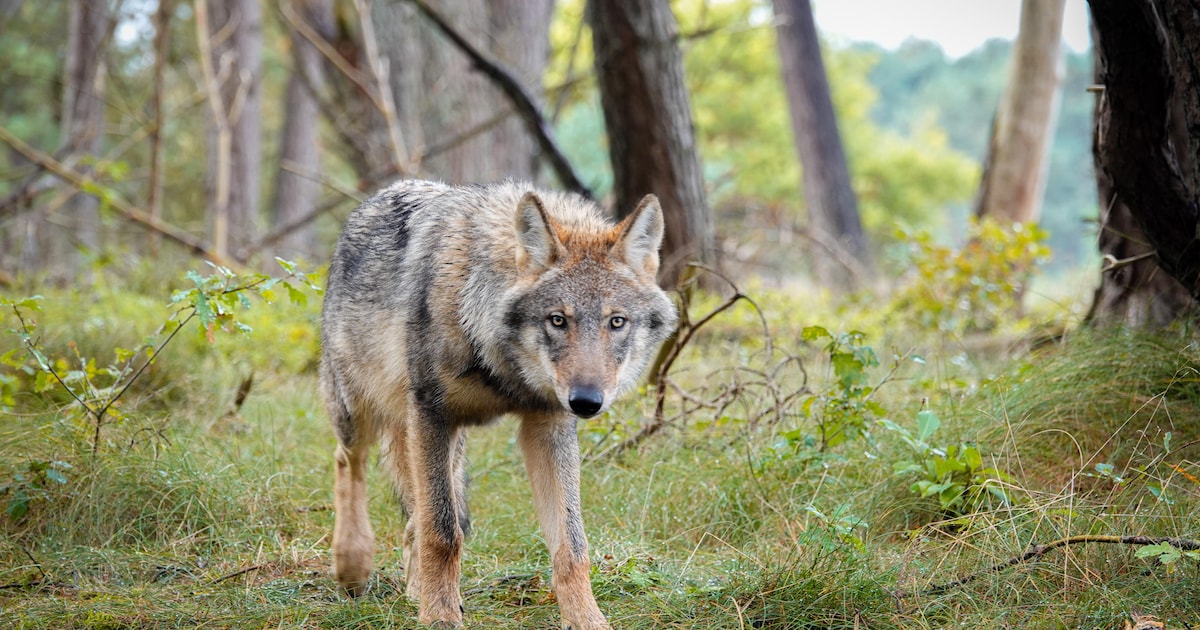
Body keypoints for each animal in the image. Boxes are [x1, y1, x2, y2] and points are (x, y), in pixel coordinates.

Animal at [319, 180, 678, 628]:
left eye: (617, 322)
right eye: (558, 320)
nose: (586, 402)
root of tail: (382, 194)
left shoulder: (549, 425)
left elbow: (572, 546)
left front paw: (587, 620)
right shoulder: (431, 414)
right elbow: (443, 532)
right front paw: (439, 617)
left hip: (442, 442)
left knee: (418, 509)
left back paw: (415, 588)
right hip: (361, 412)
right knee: (348, 461)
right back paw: (353, 565)